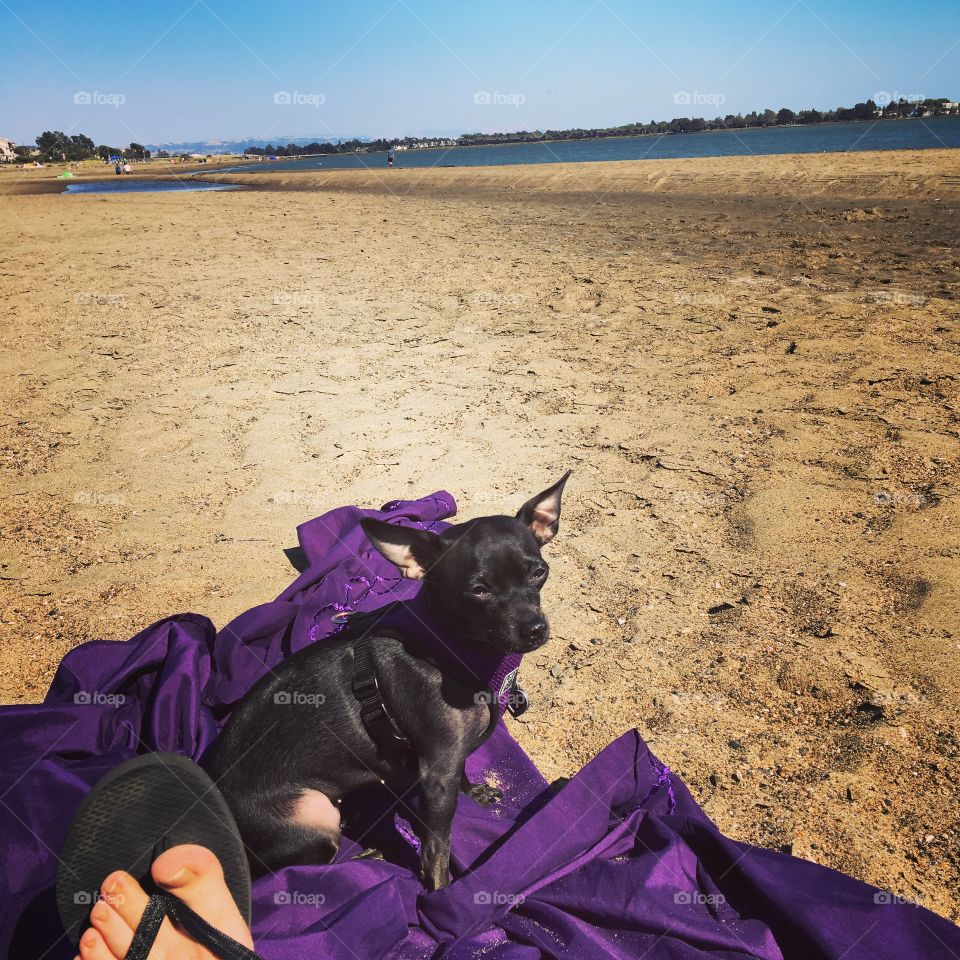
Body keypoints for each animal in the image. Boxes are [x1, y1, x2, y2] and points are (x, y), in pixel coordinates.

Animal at [206, 472, 568, 892]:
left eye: (539, 573)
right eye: (479, 591)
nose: (534, 629)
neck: (452, 646)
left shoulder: (444, 759)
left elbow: (462, 772)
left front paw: (474, 791)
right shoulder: (437, 777)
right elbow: (437, 850)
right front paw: (442, 894)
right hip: (314, 813)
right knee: (300, 871)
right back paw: (371, 855)